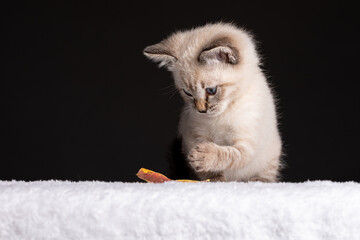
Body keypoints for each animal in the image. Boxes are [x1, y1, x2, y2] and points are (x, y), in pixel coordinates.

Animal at [143, 23, 282, 183]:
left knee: (265, 175)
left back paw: (258, 180)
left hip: (272, 154)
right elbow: (208, 171)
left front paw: (203, 156)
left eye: (211, 90)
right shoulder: (195, 136)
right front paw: (214, 179)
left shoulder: (247, 145)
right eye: (188, 93)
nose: (201, 110)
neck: (222, 114)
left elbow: (229, 154)